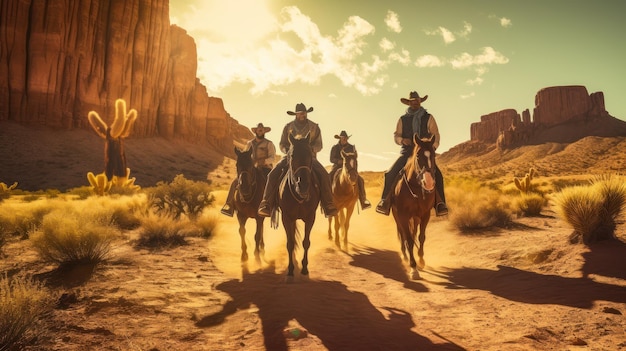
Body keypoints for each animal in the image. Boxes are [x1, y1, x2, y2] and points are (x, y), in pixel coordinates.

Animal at [278, 133, 320, 282]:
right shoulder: (286, 218)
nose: (304, 185)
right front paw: (290, 271)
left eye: (310, 154)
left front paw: (305, 269)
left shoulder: (311, 217)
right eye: (292, 155)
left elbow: (306, 242)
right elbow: (290, 243)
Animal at [390, 135, 434, 280]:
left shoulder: (425, 214)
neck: (416, 188)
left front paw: (421, 260)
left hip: (415, 218)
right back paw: (405, 256)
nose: (429, 183)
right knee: (403, 234)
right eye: (418, 156)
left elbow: (421, 237)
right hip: (397, 216)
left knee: (414, 233)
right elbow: (408, 239)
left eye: (434, 155)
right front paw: (413, 268)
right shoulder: (403, 216)